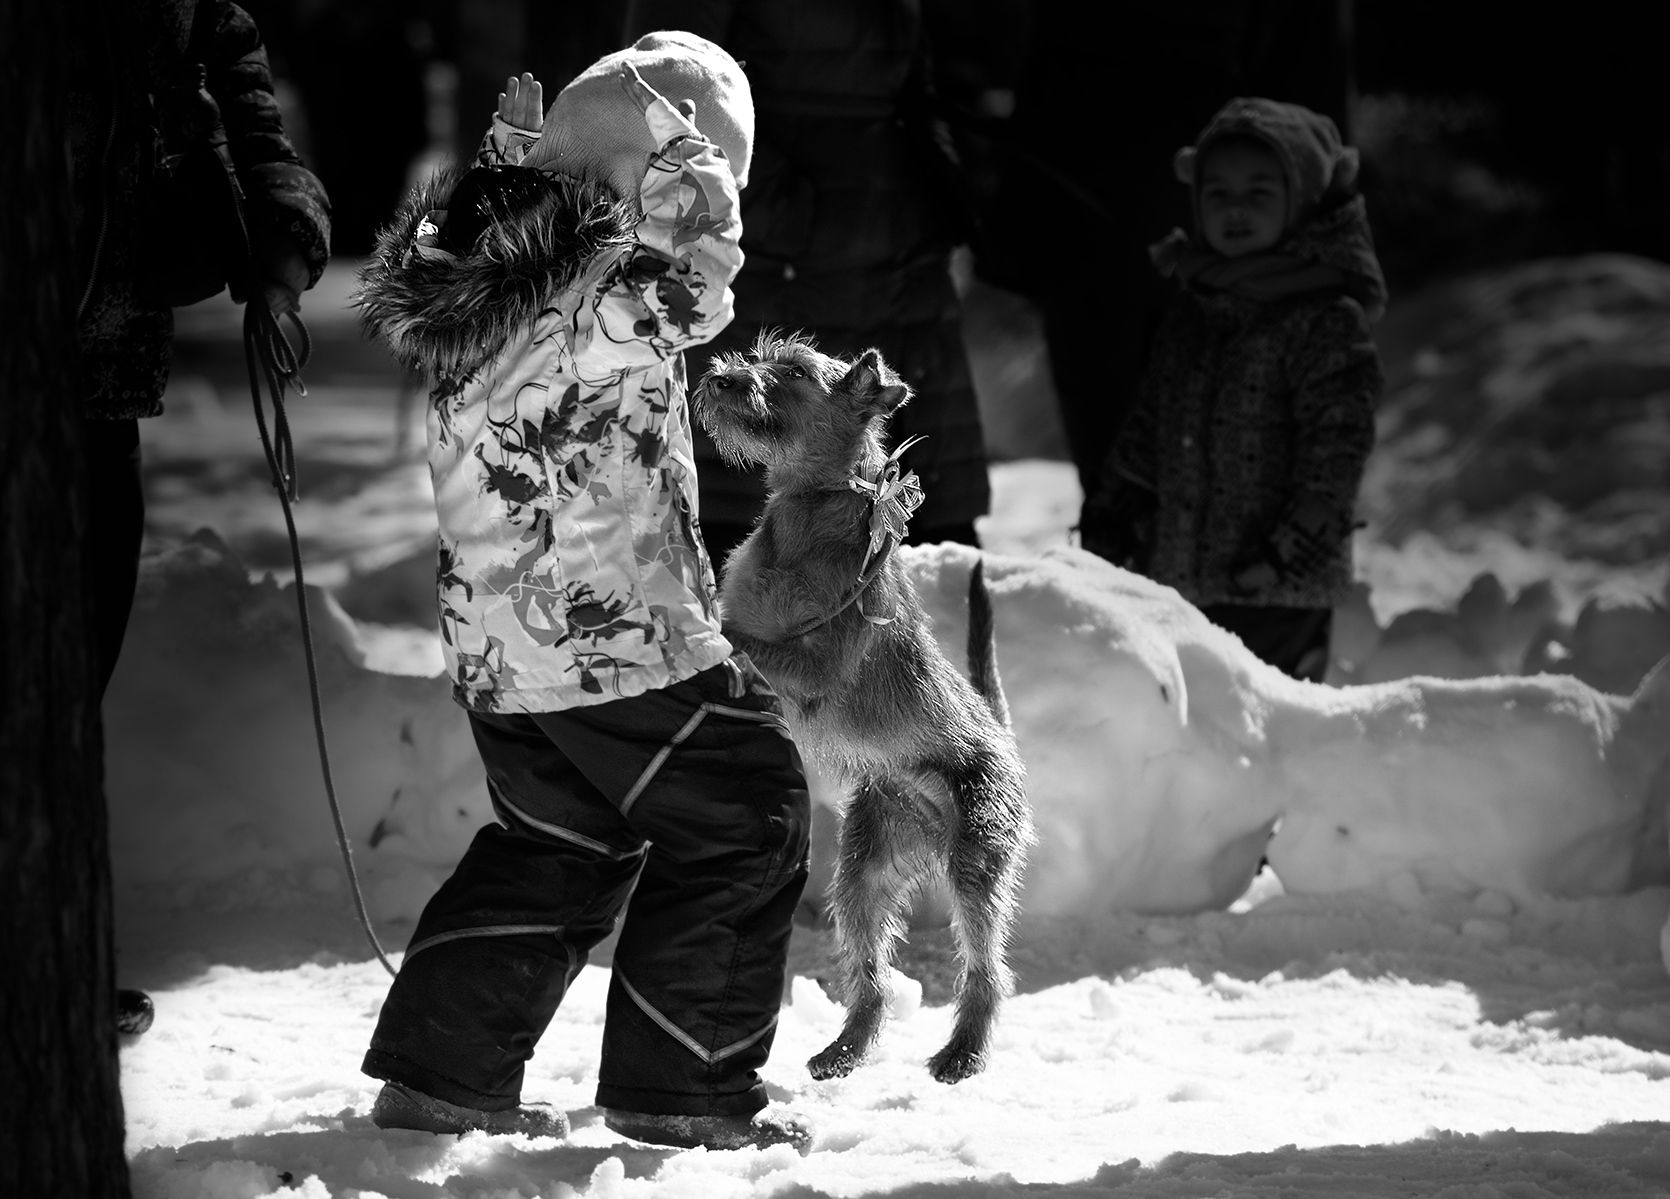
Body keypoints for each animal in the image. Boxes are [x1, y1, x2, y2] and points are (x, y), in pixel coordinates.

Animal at [688, 333, 1028, 1082]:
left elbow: (746, 638)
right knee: (869, 977)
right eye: (760, 354)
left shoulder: (816, 664)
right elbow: (732, 619)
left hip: (974, 862)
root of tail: (1000, 735)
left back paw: (961, 1053)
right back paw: (842, 1051)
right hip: (863, 874)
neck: (806, 510)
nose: (720, 375)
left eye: (791, 372)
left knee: (986, 971)